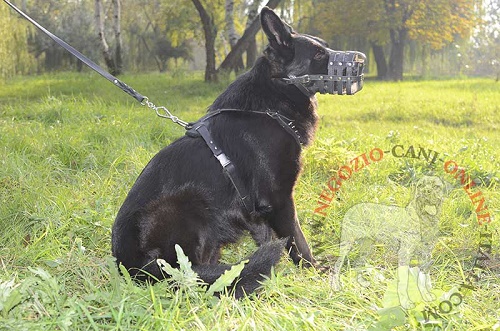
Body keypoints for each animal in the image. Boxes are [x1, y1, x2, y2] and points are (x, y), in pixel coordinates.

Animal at [112, 7, 364, 298]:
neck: (269, 107)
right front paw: (314, 270)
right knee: (190, 273)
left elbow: (268, 239)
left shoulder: (257, 211)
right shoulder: (279, 198)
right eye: (319, 55)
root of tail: (130, 264)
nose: (361, 59)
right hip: (188, 206)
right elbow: (297, 240)